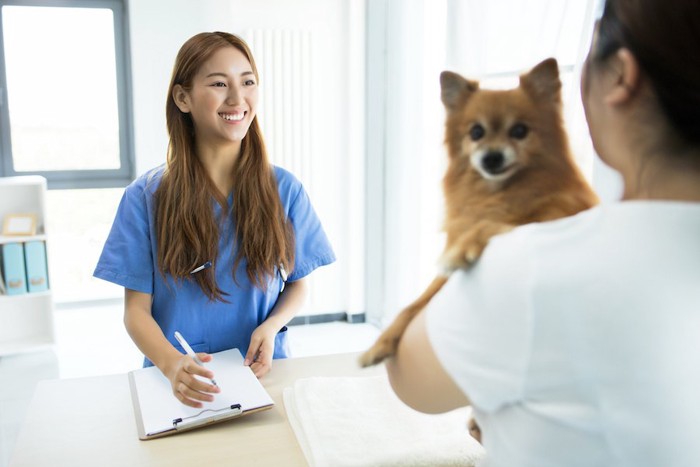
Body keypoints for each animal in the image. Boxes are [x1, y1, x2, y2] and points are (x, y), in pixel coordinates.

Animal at [360, 57, 596, 370]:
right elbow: (414, 304)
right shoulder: (440, 282)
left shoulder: (552, 222)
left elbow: (496, 226)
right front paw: (380, 344)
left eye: (519, 131)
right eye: (476, 132)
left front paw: (463, 248)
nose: (491, 157)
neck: (495, 194)